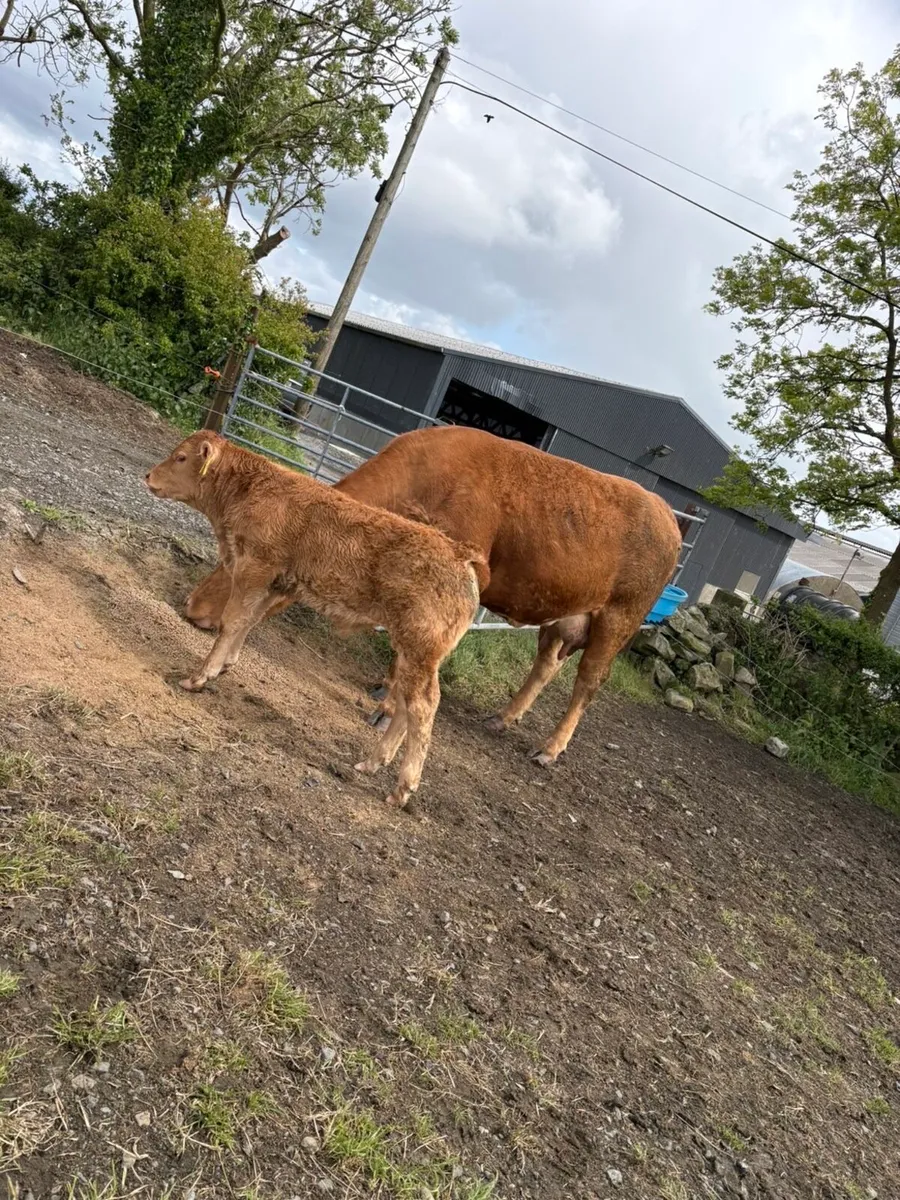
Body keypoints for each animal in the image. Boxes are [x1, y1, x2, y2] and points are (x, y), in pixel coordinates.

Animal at [145, 430, 488, 808]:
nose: (148, 476)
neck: (253, 488)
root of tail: (459, 554)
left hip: (420, 651)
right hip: (410, 652)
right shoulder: (274, 582)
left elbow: (232, 621)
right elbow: (249, 621)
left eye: (181, 457)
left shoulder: (255, 569)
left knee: (422, 706)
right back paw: (371, 763)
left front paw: (199, 676)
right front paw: (226, 665)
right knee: (405, 703)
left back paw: (402, 788)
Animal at [184, 425, 682, 766]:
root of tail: (669, 518)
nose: (194, 609)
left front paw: (386, 708)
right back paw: (502, 718)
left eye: (237, 561)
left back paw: (549, 748)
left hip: (618, 619)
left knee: (588, 683)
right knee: (544, 667)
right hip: (562, 618)